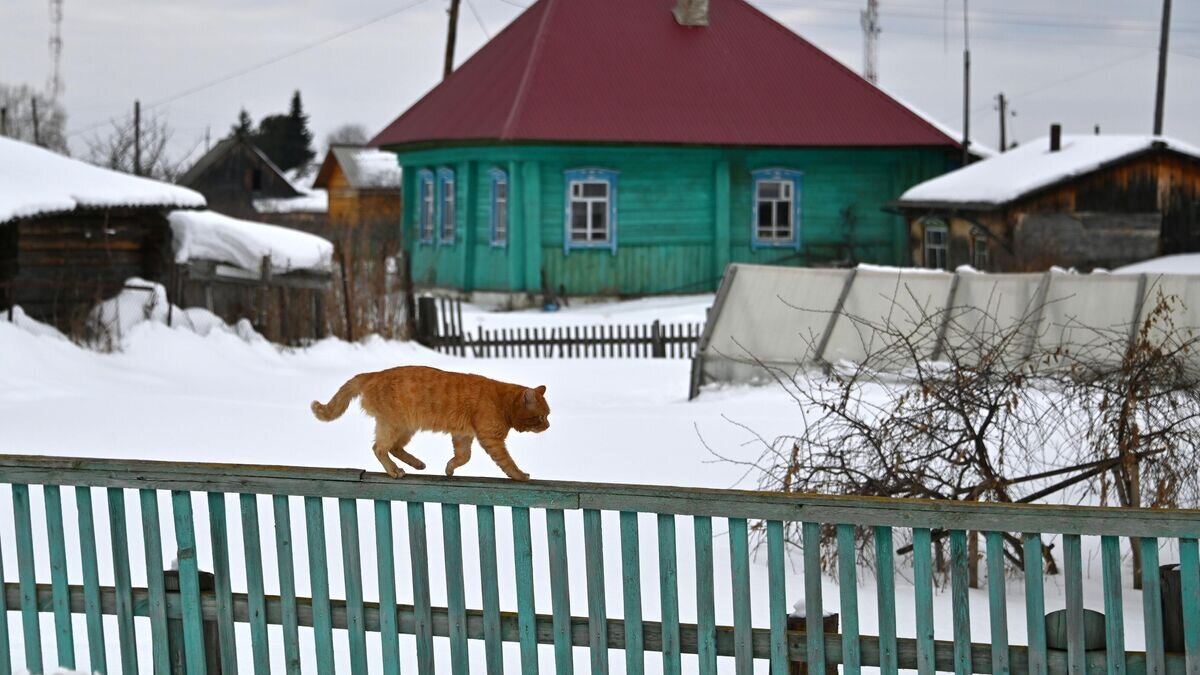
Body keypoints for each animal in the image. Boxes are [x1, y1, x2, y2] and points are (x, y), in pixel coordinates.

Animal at [312, 365, 549, 480]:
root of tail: (373, 374)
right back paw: (395, 470)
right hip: (393, 425)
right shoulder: (491, 439)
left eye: (548, 415)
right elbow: (508, 463)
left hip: (405, 428)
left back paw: (417, 464)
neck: (501, 400)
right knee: (379, 448)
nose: (548, 426)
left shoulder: (463, 436)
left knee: (394, 448)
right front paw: (521, 476)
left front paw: (449, 469)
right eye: (541, 417)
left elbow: (463, 457)